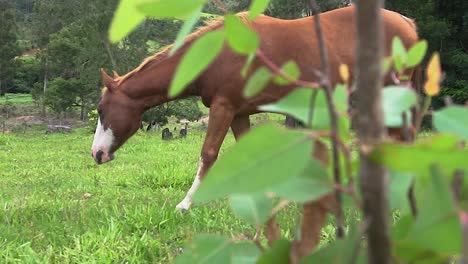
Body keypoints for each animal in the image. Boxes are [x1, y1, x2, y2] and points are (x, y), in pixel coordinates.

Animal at [89, 5, 418, 254]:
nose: (97, 154)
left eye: (102, 109)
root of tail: (406, 22)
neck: (217, 53)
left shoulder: (223, 106)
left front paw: (185, 204)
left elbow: (208, 154)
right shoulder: (239, 113)